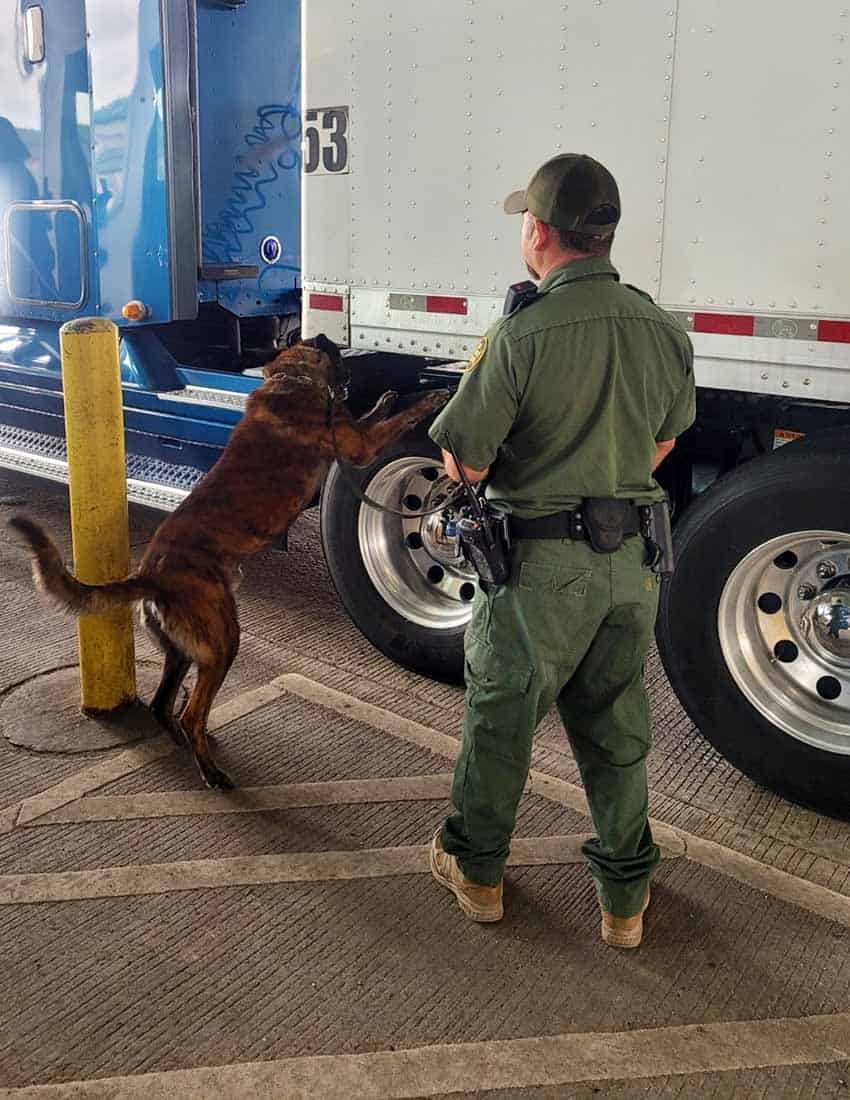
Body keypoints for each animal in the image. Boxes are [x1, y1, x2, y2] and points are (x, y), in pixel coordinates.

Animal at [9, 334, 448, 792]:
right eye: (344, 361)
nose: (352, 379)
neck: (292, 377)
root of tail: (151, 575)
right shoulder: (358, 446)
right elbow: (395, 420)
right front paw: (431, 398)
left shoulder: (355, 433)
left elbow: (375, 415)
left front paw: (386, 398)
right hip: (222, 641)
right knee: (189, 712)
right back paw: (211, 771)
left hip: (182, 651)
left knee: (163, 705)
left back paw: (190, 746)